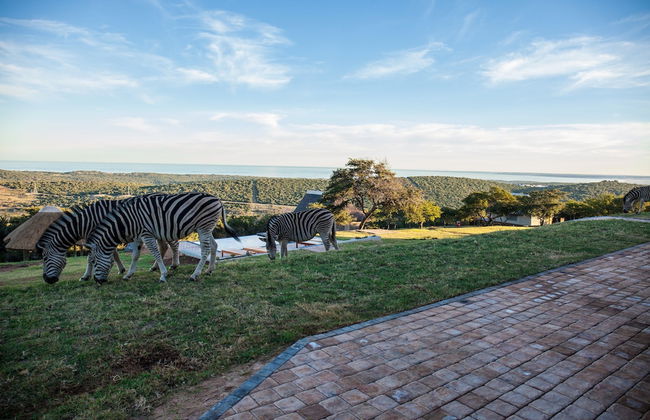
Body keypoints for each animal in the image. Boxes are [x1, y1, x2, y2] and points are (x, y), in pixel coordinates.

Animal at [36, 196, 180, 284]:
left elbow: (90, 258)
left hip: (163, 229)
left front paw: (86, 276)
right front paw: (121, 269)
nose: (47, 280)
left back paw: (174, 264)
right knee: (163, 246)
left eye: (45, 258)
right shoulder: (103, 237)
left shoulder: (96, 237)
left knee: (174, 244)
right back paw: (155, 267)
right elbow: (113, 254)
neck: (86, 221)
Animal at [86, 192, 239, 283]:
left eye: (94, 261)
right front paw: (128, 275)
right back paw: (209, 270)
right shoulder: (138, 237)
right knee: (214, 246)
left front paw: (163, 275)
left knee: (205, 249)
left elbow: (156, 254)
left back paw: (195, 274)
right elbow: (135, 256)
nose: (97, 281)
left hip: (204, 227)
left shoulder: (146, 234)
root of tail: (218, 199)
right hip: (206, 228)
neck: (127, 221)